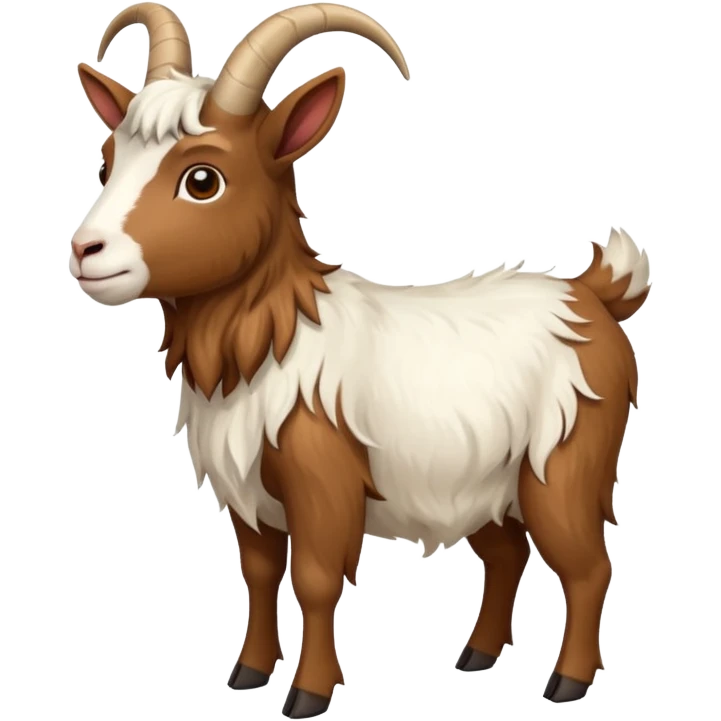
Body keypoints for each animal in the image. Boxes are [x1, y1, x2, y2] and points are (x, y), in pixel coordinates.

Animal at [71, 2, 651, 717]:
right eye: (107, 162)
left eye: (202, 179)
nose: (86, 251)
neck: (274, 339)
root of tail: (592, 294)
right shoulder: (249, 493)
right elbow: (259, 574)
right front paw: (248, 672)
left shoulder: (325, 481)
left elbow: (315, 579)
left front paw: (307, 693)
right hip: (482, 482)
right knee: (507, 554)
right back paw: (477, 656)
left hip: (562, 463)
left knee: (587, 566)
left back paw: (567, 681)